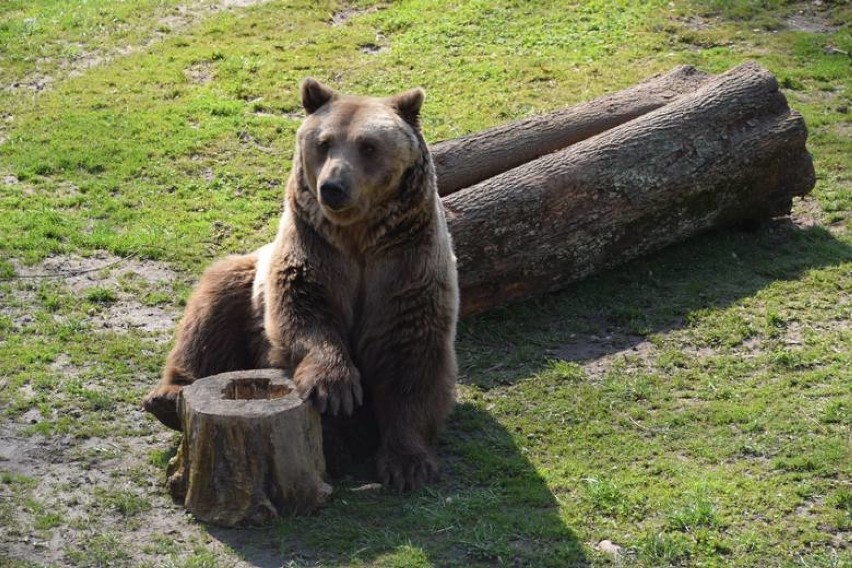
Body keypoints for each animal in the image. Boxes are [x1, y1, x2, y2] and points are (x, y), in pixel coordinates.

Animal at [143, 77, 460, 490]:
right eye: (324, 143)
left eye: (368, 146)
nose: (333, 187)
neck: (357, 236)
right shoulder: (315, 250)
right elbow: (304, 312)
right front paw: (335, 389)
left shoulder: (405, 266)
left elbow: (410, 359)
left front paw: (408, 464)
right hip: (246, 283)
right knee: (209, 315)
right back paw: (168, 398)